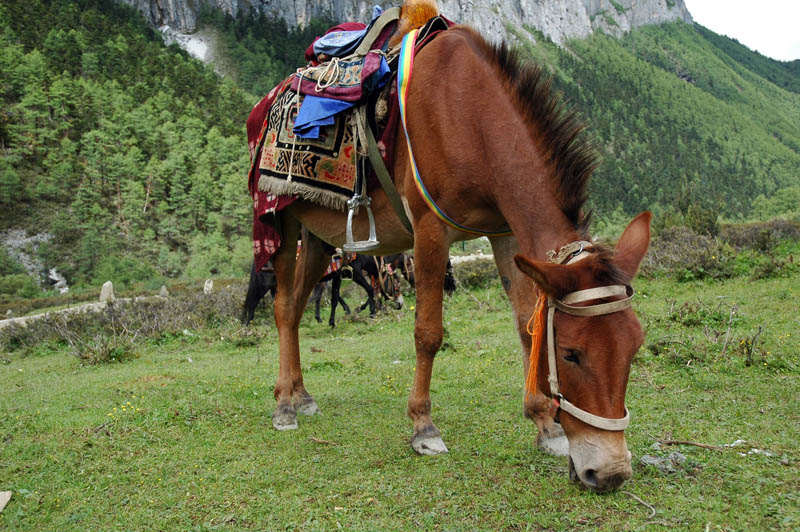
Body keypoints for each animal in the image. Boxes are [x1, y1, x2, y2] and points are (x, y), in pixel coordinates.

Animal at [256, 1, 648, 494]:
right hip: (282, 221)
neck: (469, 116)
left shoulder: (506, 234)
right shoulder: (429, 230)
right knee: (283, 308)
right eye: (571, 354)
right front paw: (423, 427)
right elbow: (428, 333)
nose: (611, 473)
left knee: (294, 307)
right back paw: (283, 405)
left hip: (320, 236)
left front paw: (545, 427)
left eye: (634, 348)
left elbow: (526, 324)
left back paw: (301, 395)